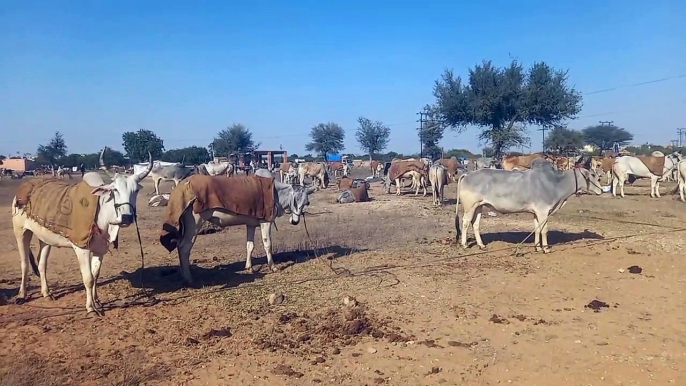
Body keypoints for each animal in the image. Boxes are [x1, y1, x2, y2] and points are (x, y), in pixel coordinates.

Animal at [456, 155, 600, 252]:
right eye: (593, 174)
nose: (601, 190)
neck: (556, 182)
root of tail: (467, 174)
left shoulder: (536, 213)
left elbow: (537, 229)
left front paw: (537, 247)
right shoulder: (543, 211)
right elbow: (544, 230)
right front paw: (546, 248)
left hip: (479, 206)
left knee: (475, 224)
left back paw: (481, 245)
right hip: (470, 207)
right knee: (465, 222)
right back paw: (464, 244)